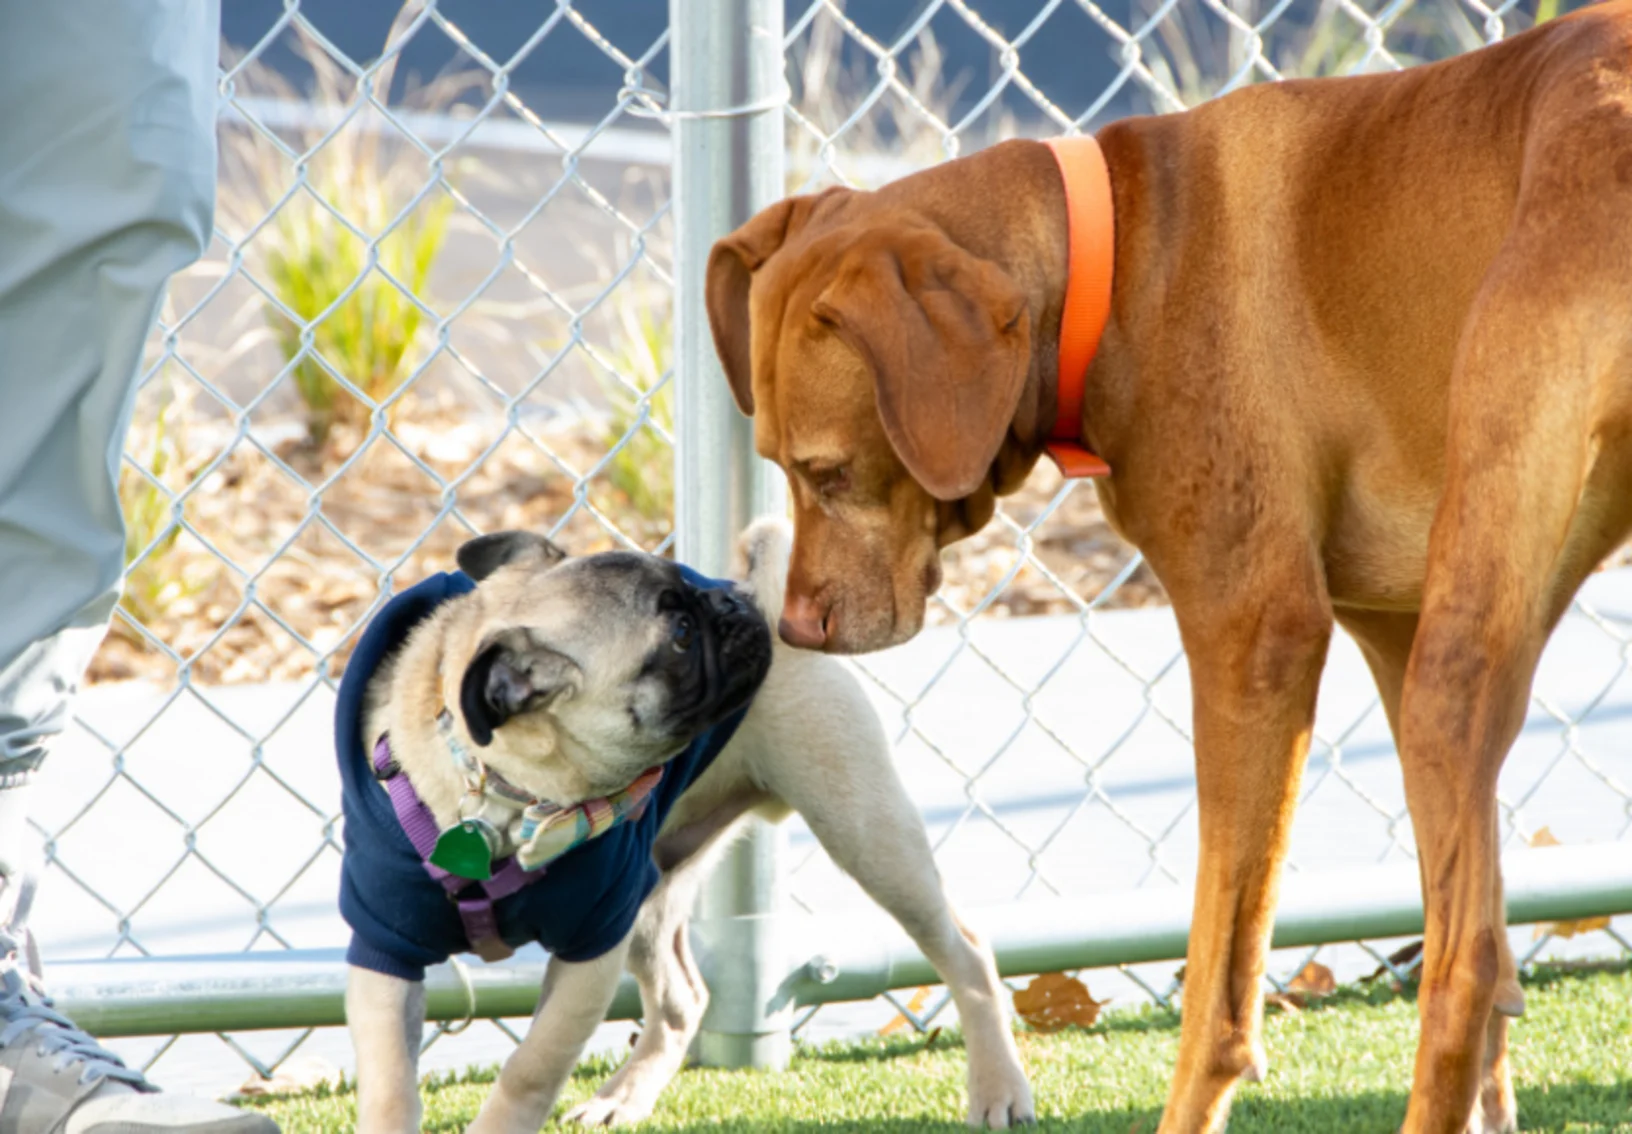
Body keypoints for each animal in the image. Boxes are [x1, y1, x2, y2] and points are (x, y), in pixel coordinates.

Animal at [705, 4, 1632, 1129]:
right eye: (779, 467)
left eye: (826, 471)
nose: (792, 631)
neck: (1121, 259)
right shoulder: (1390, 631)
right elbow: (1487, 952)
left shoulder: (1255, 636)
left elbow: (1222, 984)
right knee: (1484, 957)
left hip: (1453, 666)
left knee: (1462, 969)